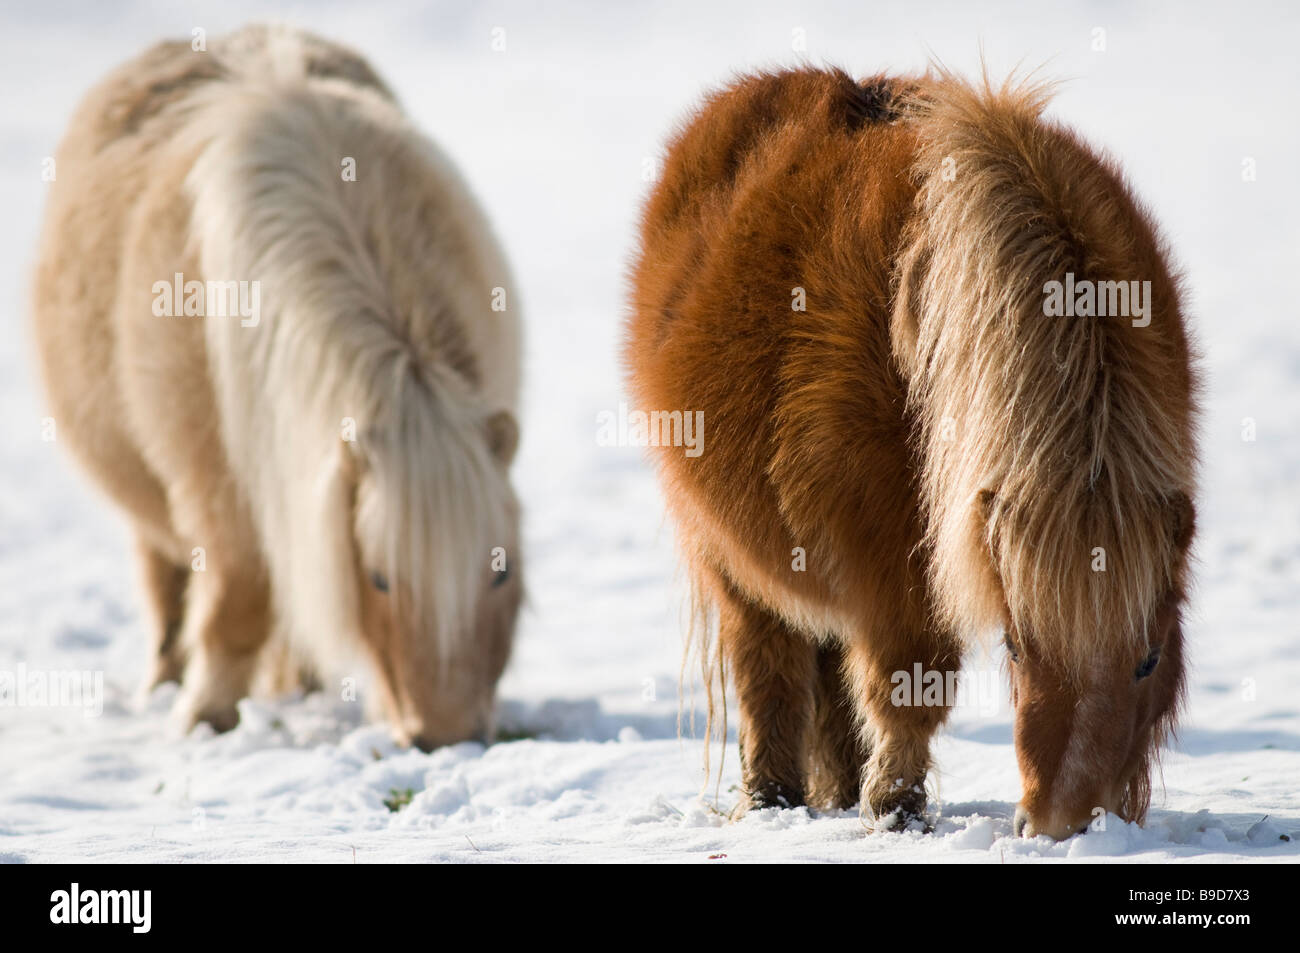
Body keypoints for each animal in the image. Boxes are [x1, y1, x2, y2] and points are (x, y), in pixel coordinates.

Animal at [31, 26, 517, 748]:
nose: (447, 735)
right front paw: (206, 716)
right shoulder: (219, 493)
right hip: (159, 509)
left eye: (500, 570)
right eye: (379, 578)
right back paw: (170, 683)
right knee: (167, 590)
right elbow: (237, 603)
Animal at [626, 68, 1196, 842]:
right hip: (732, 561)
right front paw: (896, 810)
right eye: (1015, 647)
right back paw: (773, 798)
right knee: (768, 668)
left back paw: (836, 789)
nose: (1061, 823)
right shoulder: (892, 567)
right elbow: (909, 683)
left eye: (1149, 660)